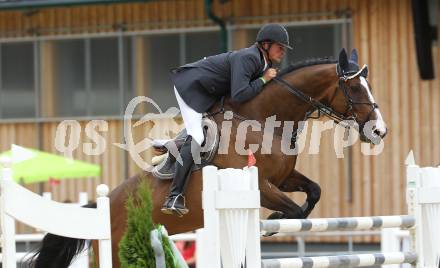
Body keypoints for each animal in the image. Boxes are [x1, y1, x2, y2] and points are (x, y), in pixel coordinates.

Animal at [28, 48, 384, 268]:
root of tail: (98, 211)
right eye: (355, 90)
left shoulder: (283, 179)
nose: (380, 131)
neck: (264, 121)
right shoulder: (259, 185)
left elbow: (314, 193)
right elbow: (294, 210)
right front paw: (271, 224)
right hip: (115, 250)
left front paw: (274, 223)